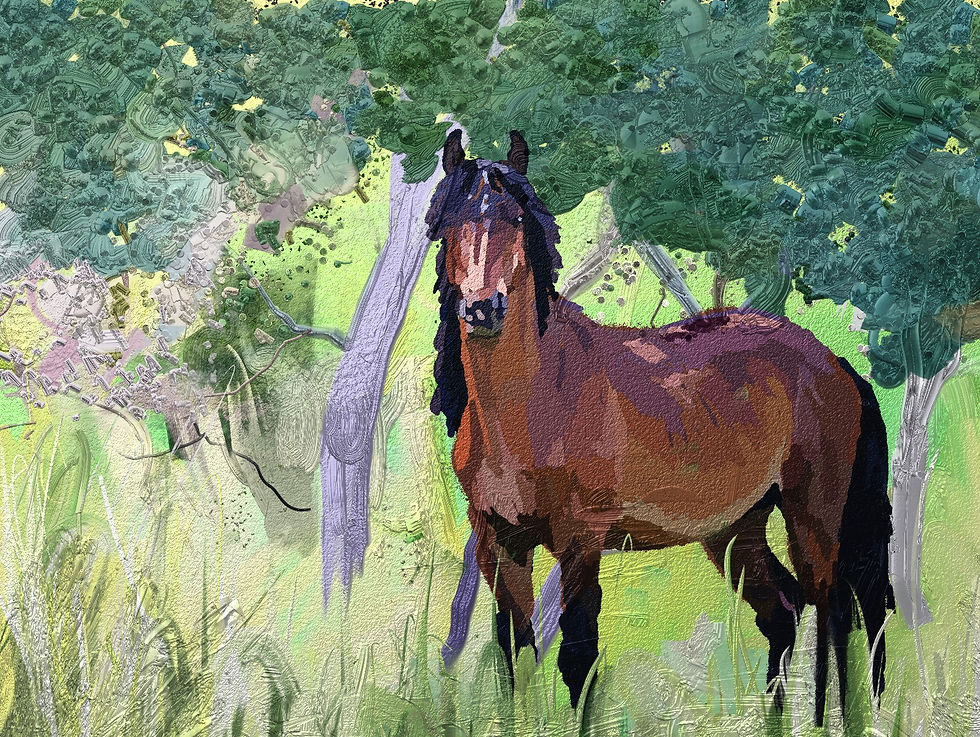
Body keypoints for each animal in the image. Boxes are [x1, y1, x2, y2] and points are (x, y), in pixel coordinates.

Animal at [425, 129, 894, 725]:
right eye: (451, 223)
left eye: (514, 218)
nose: (483, 309)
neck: (531, 404)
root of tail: (833, 363)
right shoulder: (498, 544)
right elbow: (516, 660)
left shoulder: (581, 543)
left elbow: (578, 661)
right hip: (735, 530)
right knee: (784, 614)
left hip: (814, 517)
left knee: (839, 617)